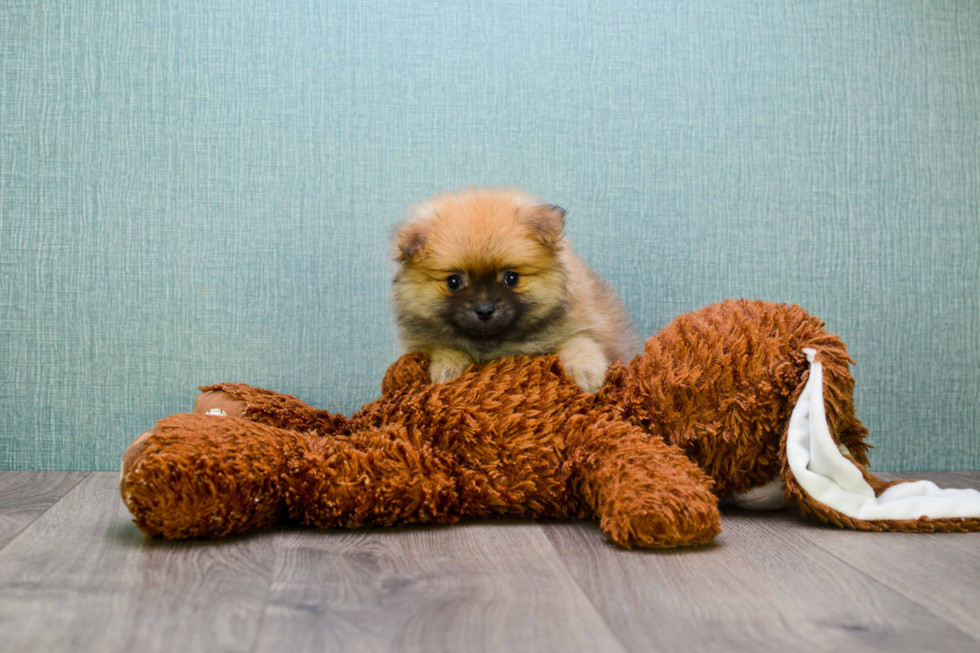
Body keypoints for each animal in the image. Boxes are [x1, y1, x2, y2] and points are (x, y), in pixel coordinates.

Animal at [390, 188, 644, 392]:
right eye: (453, 282)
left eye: (511, 278)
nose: (484, 309)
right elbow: (443, 346)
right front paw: (448, 368)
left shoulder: (583, 327)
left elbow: (580, 342)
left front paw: (586, 374)